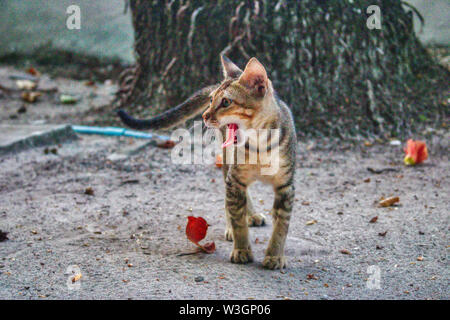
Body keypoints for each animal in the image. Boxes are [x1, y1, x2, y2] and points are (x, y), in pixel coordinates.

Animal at [118, 56, 298, 268]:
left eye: (226, 102)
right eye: (212, 100)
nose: (204, 115)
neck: (259, 145)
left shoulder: (286, 186)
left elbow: (281, 225)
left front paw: (274, 255)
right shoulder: (235, 178)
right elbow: (238, 220)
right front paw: (241, 249)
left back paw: (252, 215)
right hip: (227, 161)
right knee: (230, 199)